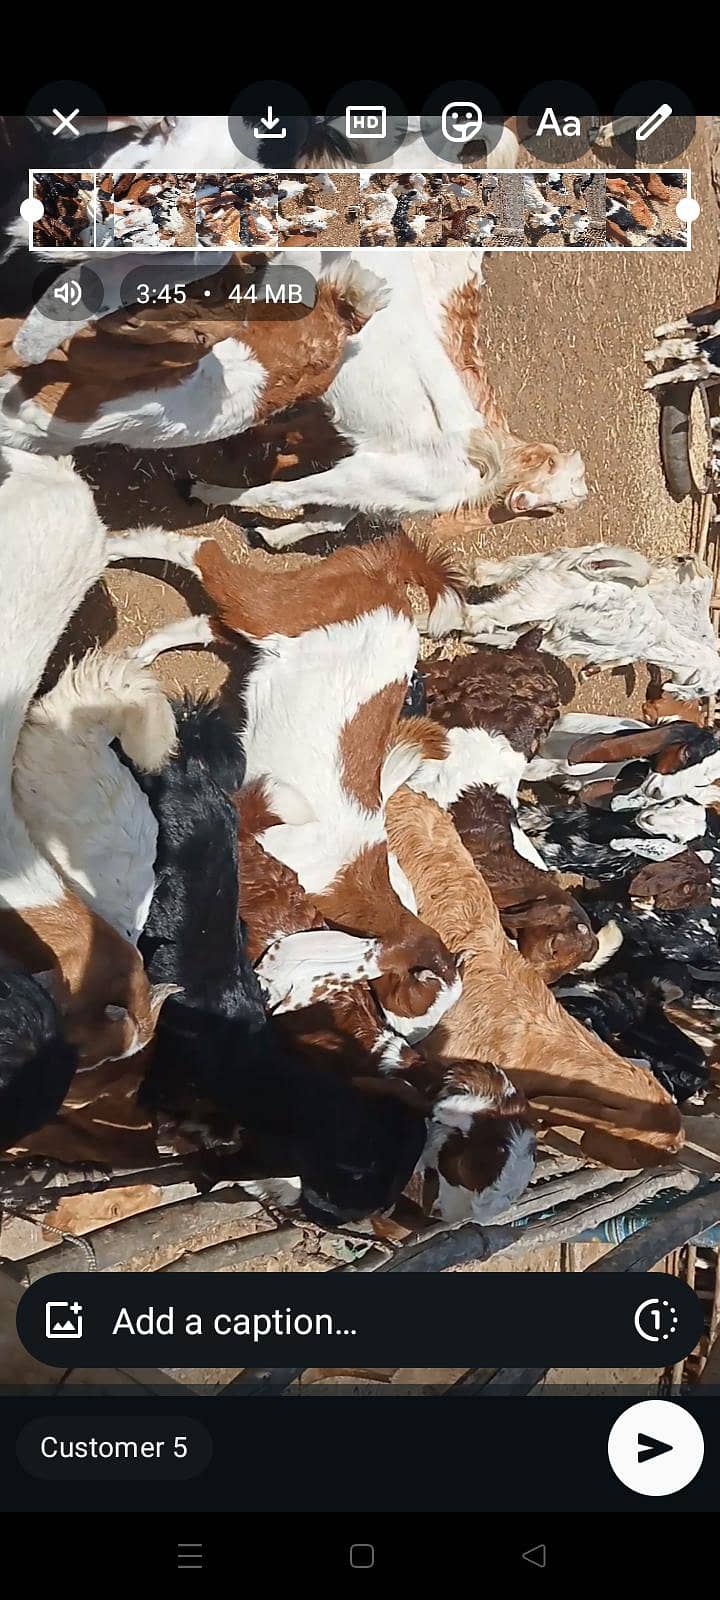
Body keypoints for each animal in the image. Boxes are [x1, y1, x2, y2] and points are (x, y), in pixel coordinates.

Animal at [188, 253, 586, 546]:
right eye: (549, 468)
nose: (523, 502)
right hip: (378, 492)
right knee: (331, 519)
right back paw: (268, 534)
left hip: (359, 477)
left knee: (282, 494)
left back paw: (205, 491)